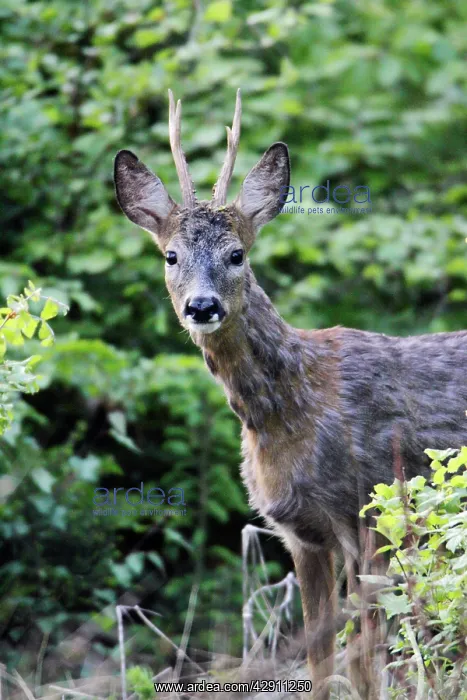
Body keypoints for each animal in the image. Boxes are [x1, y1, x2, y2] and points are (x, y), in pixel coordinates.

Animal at [114, 89, 467, 699]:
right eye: (170, 256)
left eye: (236, 254)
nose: (201, 306)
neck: (290, 409)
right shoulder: (302, 534)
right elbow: (321, 661)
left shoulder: (373, 504)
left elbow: (366, 658)